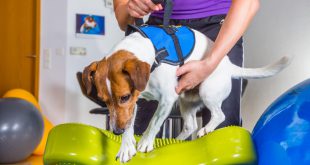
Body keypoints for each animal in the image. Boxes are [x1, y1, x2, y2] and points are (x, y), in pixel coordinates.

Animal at [82, 28, 290, 162]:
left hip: (207, 92)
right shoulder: (134, 102)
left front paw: (145, 143)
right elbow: (130, 125)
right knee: (190, 125)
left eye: (124, 97)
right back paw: (179, 140)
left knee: (219, 115)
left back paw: (206, 129)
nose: (115, 131)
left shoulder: (164, 99)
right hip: (186, 102)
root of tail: (229, 66)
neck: (152, 55)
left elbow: (153, 123)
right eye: (104, 101)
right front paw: (126, 146)